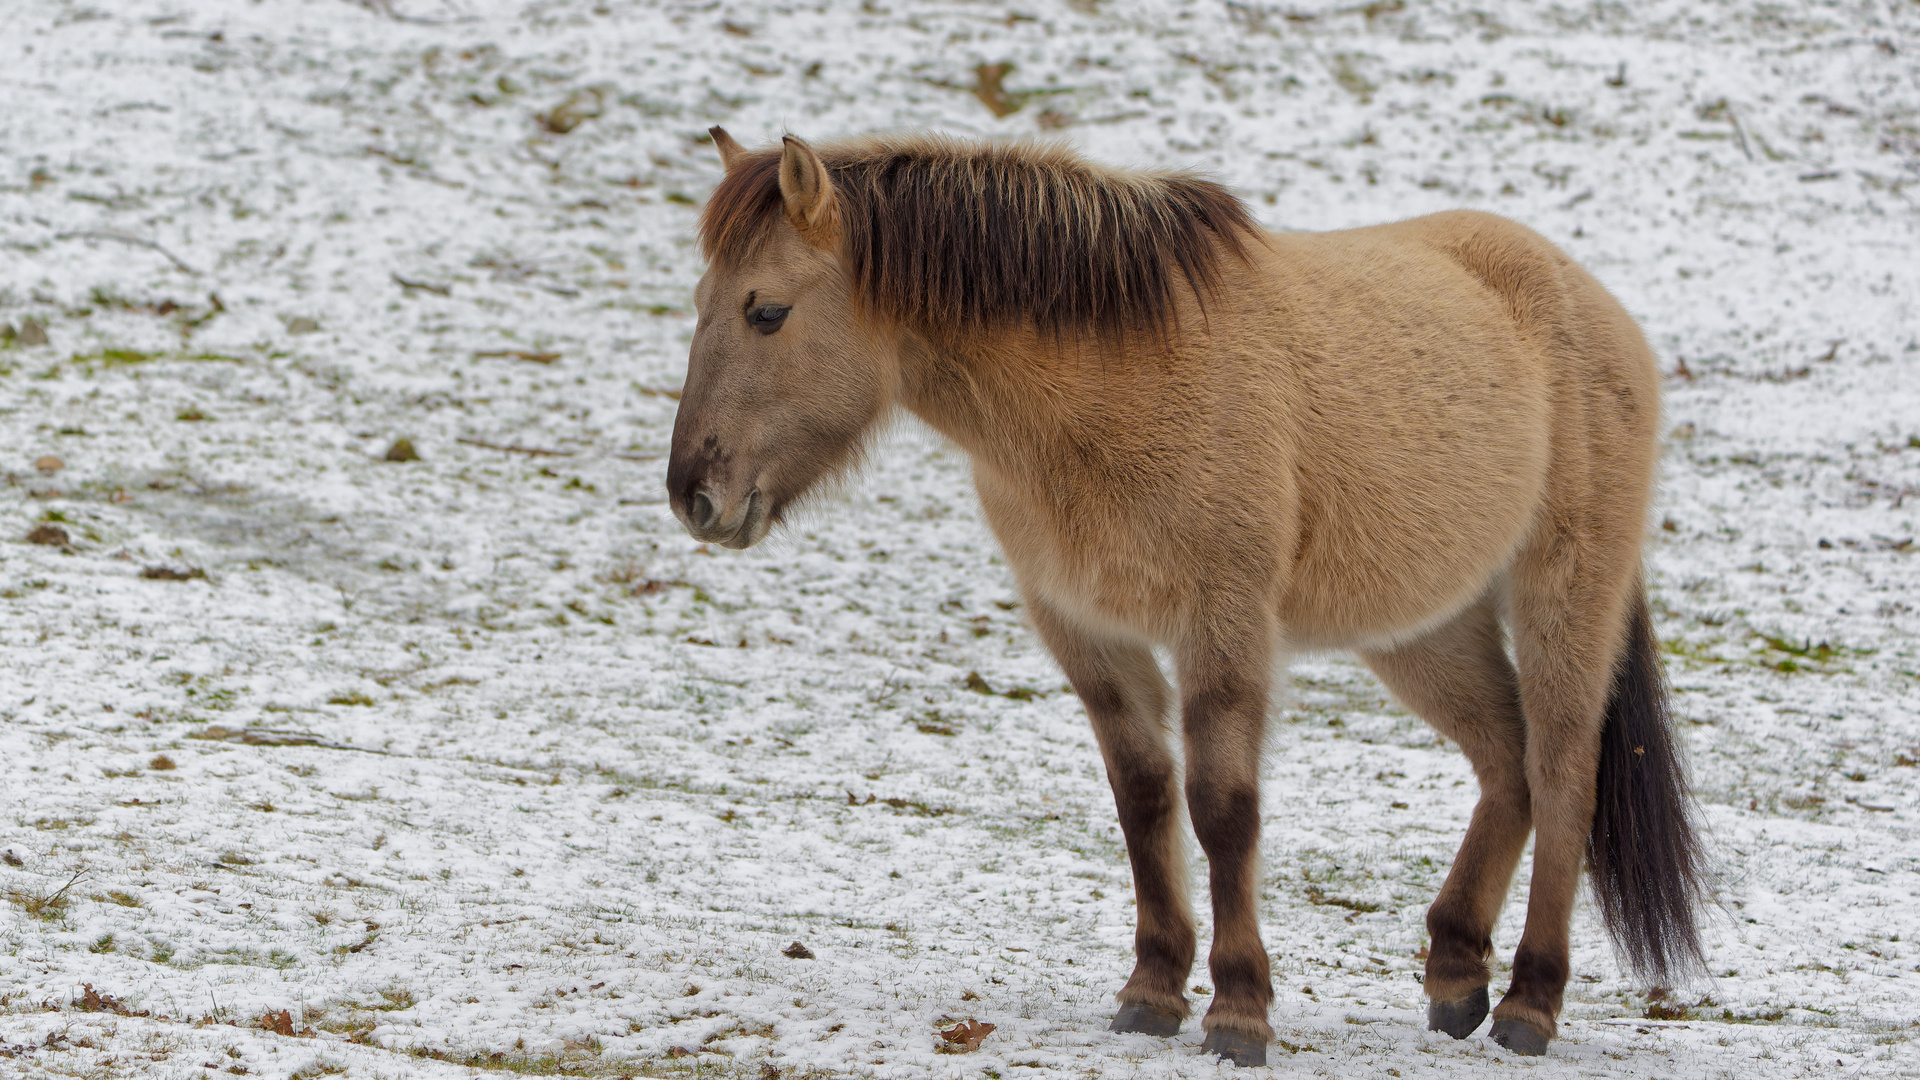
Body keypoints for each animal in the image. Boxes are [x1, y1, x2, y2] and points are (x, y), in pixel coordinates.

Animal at [668, 125, 1704, 1060]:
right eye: (703, 302)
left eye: (766, 311)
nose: (693, 494)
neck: (1111, 380)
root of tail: (1593, 305)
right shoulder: (1087, 629)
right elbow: (1143, 799)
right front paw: (1153, 991)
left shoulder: (1222, 622)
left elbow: (1222, 808)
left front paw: (1240, 1012)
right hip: (1422, 627)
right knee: (1505, 763)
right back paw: (1454, 977)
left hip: (1564, 592)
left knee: (1562, 772)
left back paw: (1531, 1003)